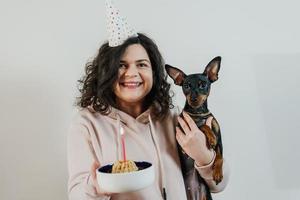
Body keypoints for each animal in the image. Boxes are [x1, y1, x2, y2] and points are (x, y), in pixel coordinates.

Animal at [165, 56, 224, 200]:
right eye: (186, 86)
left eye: (203, 85)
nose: (193, 98)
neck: (199, 113)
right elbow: (202, 125)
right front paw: (210, 137)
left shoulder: (220, 138)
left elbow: (220, 156)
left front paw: (217, 173)